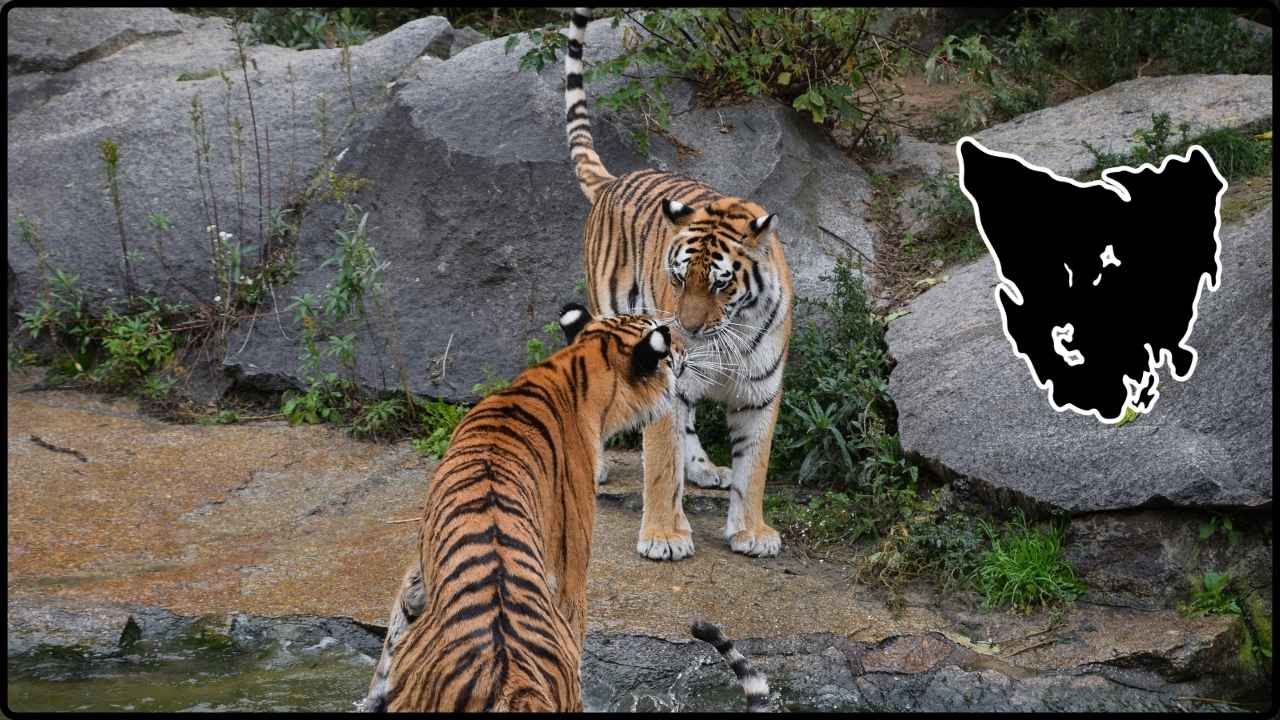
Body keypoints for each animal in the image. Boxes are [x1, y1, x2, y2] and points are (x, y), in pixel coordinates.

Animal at [356, 306, 686, 712]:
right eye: (667, 340)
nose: (685, 349)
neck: (574, 368)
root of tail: (510, 682)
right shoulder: (571, 575)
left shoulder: (422, 568)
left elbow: (401, 609)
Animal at [564, 7, 794, 561]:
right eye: (677, 278)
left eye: (720, 284)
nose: (683, 332)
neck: (735, 332)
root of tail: (613, 182)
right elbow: (660, 463)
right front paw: (664, 536)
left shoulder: (760, 392)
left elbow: (754, 467)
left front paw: (751, 531)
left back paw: (706, 470)